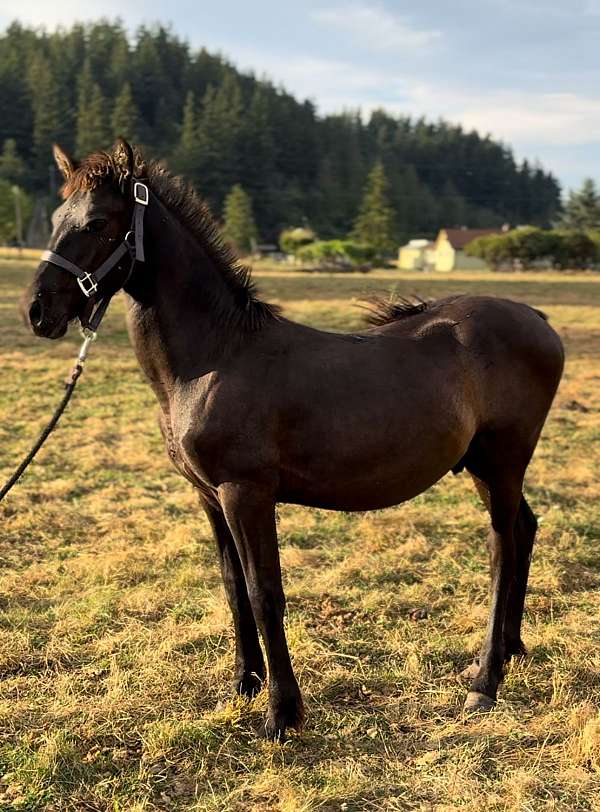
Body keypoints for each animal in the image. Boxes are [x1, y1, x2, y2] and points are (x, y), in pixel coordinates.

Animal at [27, 141, 564, 744]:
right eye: (56, 218)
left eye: (97, 223)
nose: (39, 311)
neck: (215, 357)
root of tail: (536, 317)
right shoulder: (208, 496)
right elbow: (233, 587)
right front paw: (244, 684)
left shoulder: (246, 493)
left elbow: (265, 593)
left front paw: (282, 712)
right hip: (486, 467)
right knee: (524, 530)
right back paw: (511, 652)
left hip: (502, 463)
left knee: (501, 550)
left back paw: (485, 681)